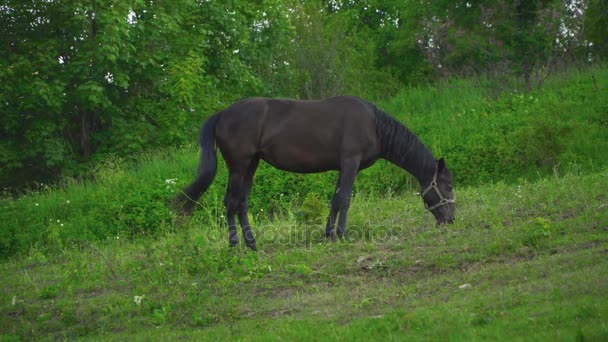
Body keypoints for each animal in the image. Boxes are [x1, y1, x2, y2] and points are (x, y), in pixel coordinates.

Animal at [173, 95, 454, 250]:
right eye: (448, 186)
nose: (450, 220)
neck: (374, 125)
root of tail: (222, 114)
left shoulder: (343, 167)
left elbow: (335, 200)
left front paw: (329, 234)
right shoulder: (350, 163)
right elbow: (345, 199)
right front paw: (342, 235)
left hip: (251, 165)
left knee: (241, 203)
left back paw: (252, 244)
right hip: (239, 166)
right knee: (231, 203)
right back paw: (235, 245)